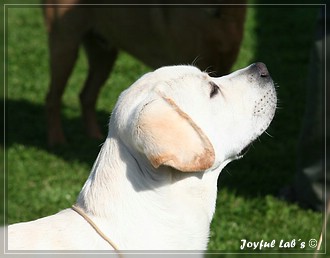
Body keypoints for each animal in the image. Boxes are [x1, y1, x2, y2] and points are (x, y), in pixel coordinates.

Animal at [42, 0, 246, 145]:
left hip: (104, 54)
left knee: (86, 95)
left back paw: (94, 135)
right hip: (65, 46)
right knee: (52, 97)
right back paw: (57, 141)